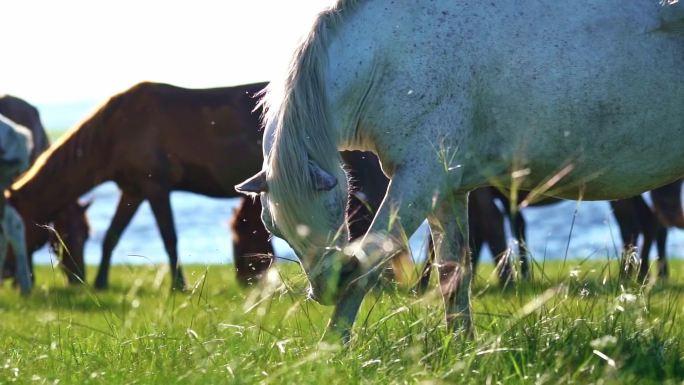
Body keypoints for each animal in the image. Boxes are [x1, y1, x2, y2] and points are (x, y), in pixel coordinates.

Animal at [238, 0, 684, 340]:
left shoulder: (418, 181)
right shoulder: (445, 187)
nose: (325, 287)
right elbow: (453, 273)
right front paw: (462, 347)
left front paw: (332, 348)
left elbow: (369, 263)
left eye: (329, 205)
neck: (392, 54)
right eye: (275, 229)